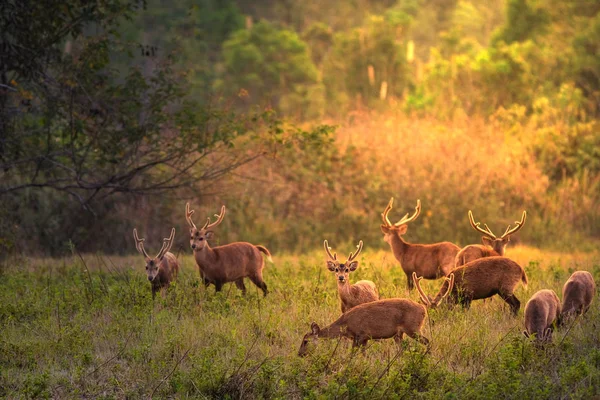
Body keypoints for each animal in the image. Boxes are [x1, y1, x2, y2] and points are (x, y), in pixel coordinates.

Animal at [296, 296, 432, 356]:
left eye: (306, 341)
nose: (299, 354)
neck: (345, 324)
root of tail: (423, 309)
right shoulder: (364, 338)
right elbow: (363, 354)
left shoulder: (361, 335)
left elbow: (352, 354)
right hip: (399, 334)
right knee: (402, 349)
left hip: (413, 328)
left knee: (428, 341)